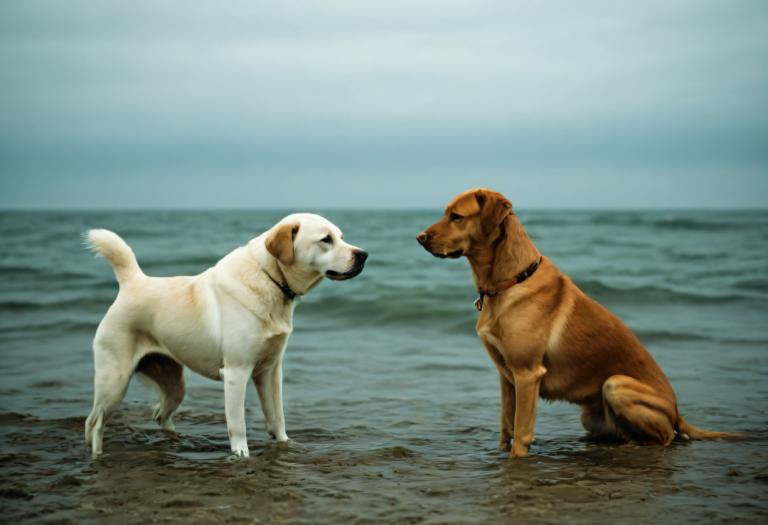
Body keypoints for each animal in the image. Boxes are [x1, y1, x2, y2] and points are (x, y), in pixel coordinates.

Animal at [84, 213, 366, 454]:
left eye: (341, 236)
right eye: (326, 239)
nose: (363, 255)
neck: (270, 278)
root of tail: (133, 283)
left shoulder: (270, 372)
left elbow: (278, 418)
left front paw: (286, 445)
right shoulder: (236, 373)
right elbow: (237, 425)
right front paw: (241, 456)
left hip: (174, 382)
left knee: (159, 415)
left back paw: (175, 441)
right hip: (115, 380)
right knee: (95, 422)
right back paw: (98, 456)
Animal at [420, 187, 732, 454]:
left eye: (456, 216)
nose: (419, 238)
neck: (509, 280)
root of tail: (678, 411)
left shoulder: (527, 374)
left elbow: (520, 434)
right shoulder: (506, 377)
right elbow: (505, 428)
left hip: (615, 385)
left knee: (665, 438)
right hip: (590, 415)